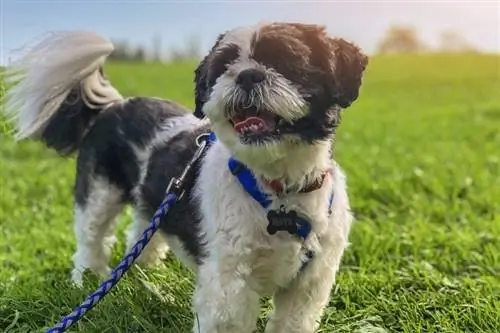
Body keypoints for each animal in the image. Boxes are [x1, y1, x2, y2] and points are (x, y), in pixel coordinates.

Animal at [4, 22, 368, 330]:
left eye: (287, 61)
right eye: (224, 66)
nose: (248, 75)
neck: (279, 191)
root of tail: (114, 106)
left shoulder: (309, 284)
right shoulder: (228, 284)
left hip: (152, 203)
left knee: (142, 234)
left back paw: (148, 277)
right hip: (99, 194)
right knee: (91, 238)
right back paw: (88, 279)